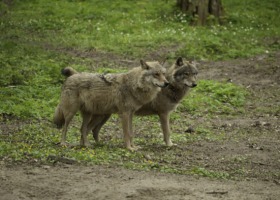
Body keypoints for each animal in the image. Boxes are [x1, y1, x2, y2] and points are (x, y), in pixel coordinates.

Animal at [62, 57, 198, 147]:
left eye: (195, 74)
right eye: (186, 74)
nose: (195, 84)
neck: (171, 88)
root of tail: (75, 74)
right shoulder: (163, 114)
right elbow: (167, 132)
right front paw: (169, 145)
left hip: (103, 116)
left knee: (89, 130)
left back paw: (93, 145)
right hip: (79, 113)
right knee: (77, 128)